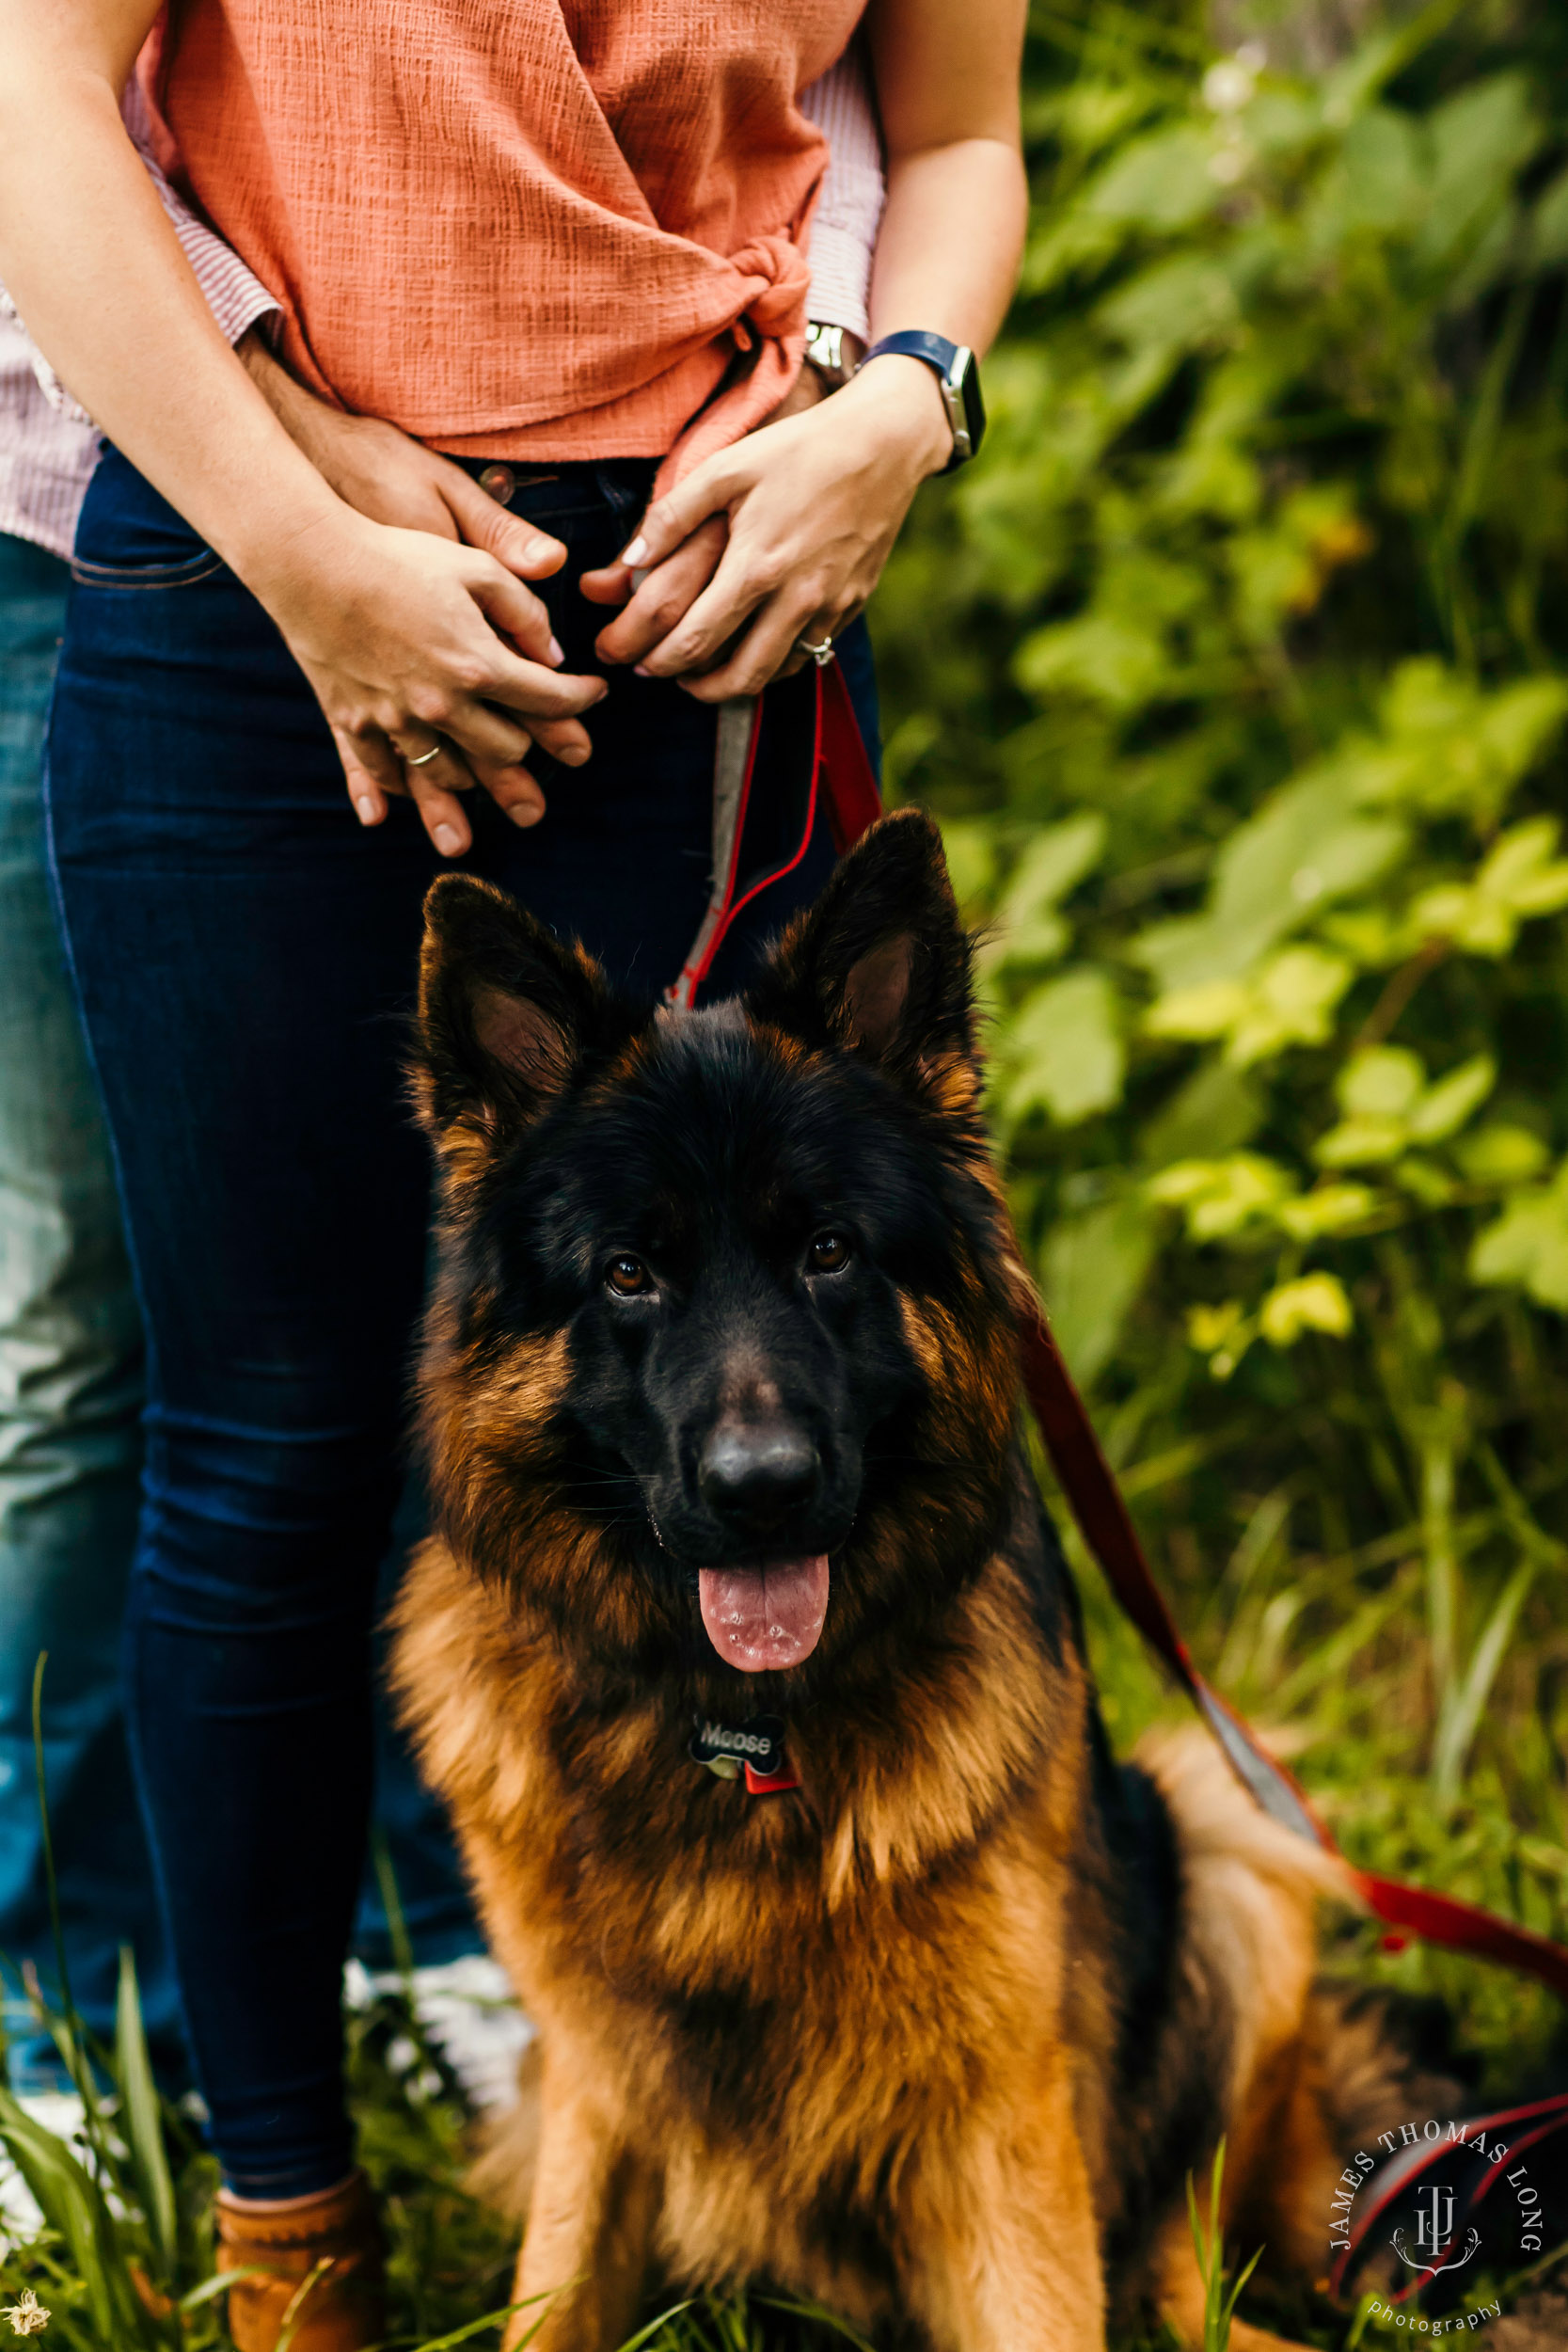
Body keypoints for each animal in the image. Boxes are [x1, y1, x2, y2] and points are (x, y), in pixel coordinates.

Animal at [394, 814, 1410, 2352]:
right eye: (627, 1274)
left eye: (827, 1251)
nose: (760, 1487)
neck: (737, 1734)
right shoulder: (592, 2086)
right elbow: (549, 2302)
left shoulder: (1006, 2120)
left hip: (1226, 1839)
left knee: (1173, 2266)